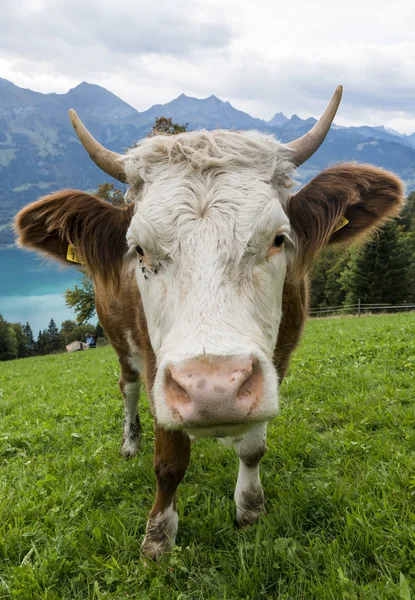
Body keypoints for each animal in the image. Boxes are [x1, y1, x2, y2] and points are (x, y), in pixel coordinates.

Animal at [14, 86, 404, 560]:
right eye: (138, 249)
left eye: (279, 238)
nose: (212, 389)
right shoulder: (157, 366)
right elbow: (168, 461)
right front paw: (158, 537)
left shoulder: (277, 361)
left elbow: (253, 448)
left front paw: (250, 508)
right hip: (118, 339)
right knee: (126, 387)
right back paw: (130, 442)